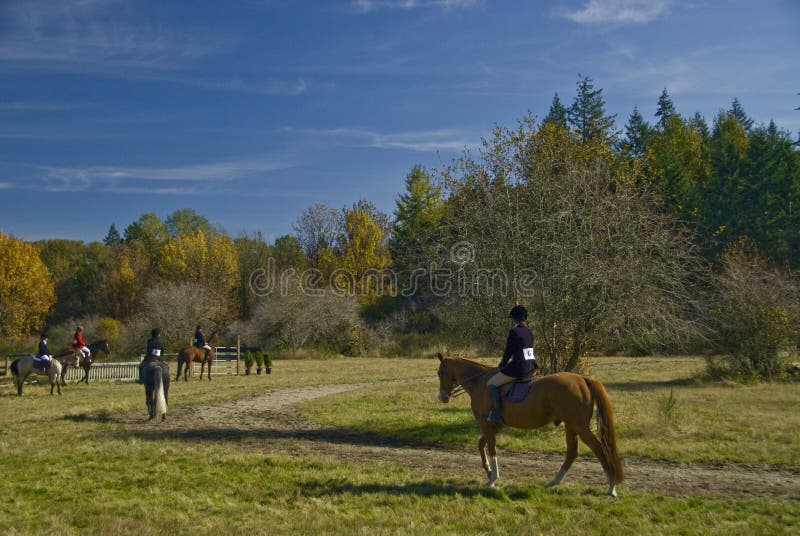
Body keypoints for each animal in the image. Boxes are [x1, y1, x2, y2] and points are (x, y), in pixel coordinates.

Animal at [434, 354, 620, 496]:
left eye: (439, 372)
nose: (442, 397)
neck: (480, 381)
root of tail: (583, 379)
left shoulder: (486, 424)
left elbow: (492, 448)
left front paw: (493, 478)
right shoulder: (495, 426)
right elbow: (481, 445)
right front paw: (488, 471)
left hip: (579, 426)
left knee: (598, 448)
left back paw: (611, 486)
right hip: (571, 426)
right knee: (572, 452)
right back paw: (554, 481)